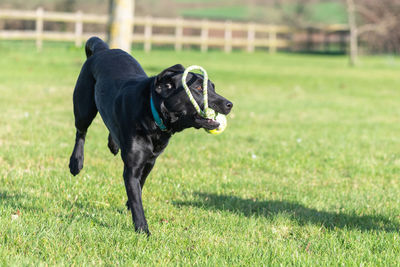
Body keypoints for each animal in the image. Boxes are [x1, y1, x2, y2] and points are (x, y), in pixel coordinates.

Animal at [68, 37, 231, 234]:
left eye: (213, 87)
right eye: (199, 88)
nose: (229, 104)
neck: (154, 116)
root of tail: (102, 49)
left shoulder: (150, 161)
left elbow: (140, 186)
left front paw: (129, 205)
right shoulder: (132, 169)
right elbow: (137, 201)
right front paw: (143, 230)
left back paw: (113, 144)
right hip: (83, 106)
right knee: (81, 132)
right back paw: (76, 162)